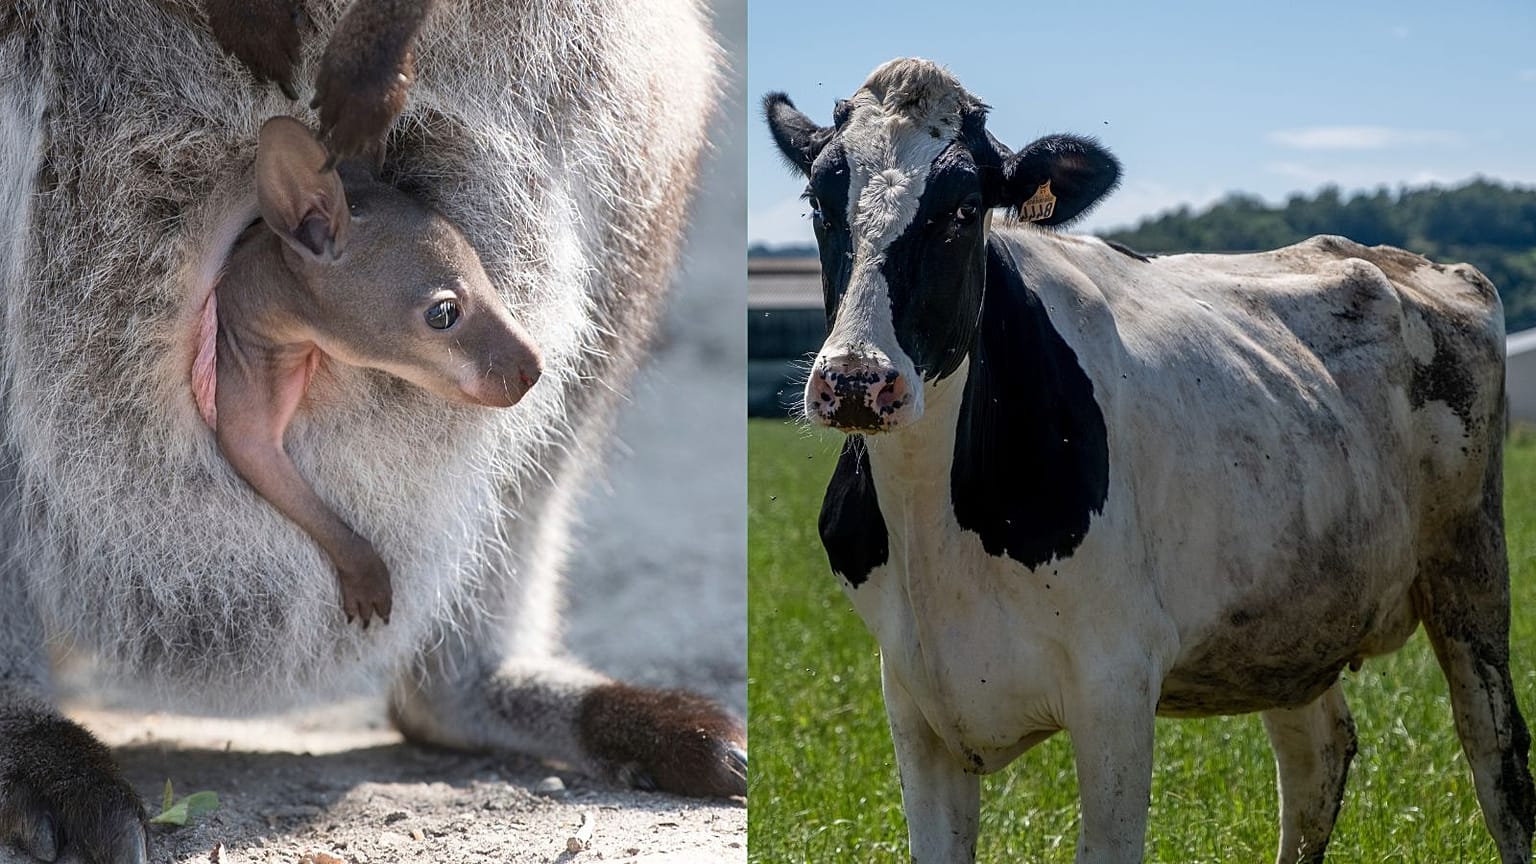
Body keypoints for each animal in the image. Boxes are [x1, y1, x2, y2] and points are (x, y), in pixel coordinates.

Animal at [764, 57, 1534, 863]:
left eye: (965, 209)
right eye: (819, 201)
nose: (857, 380)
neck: (933, 535)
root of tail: (1403, 261)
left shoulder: (1116, 686)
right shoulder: (914, 698)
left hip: (1471, 563)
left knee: (1497, 758)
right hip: (1295, 611)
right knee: (1317, 759)